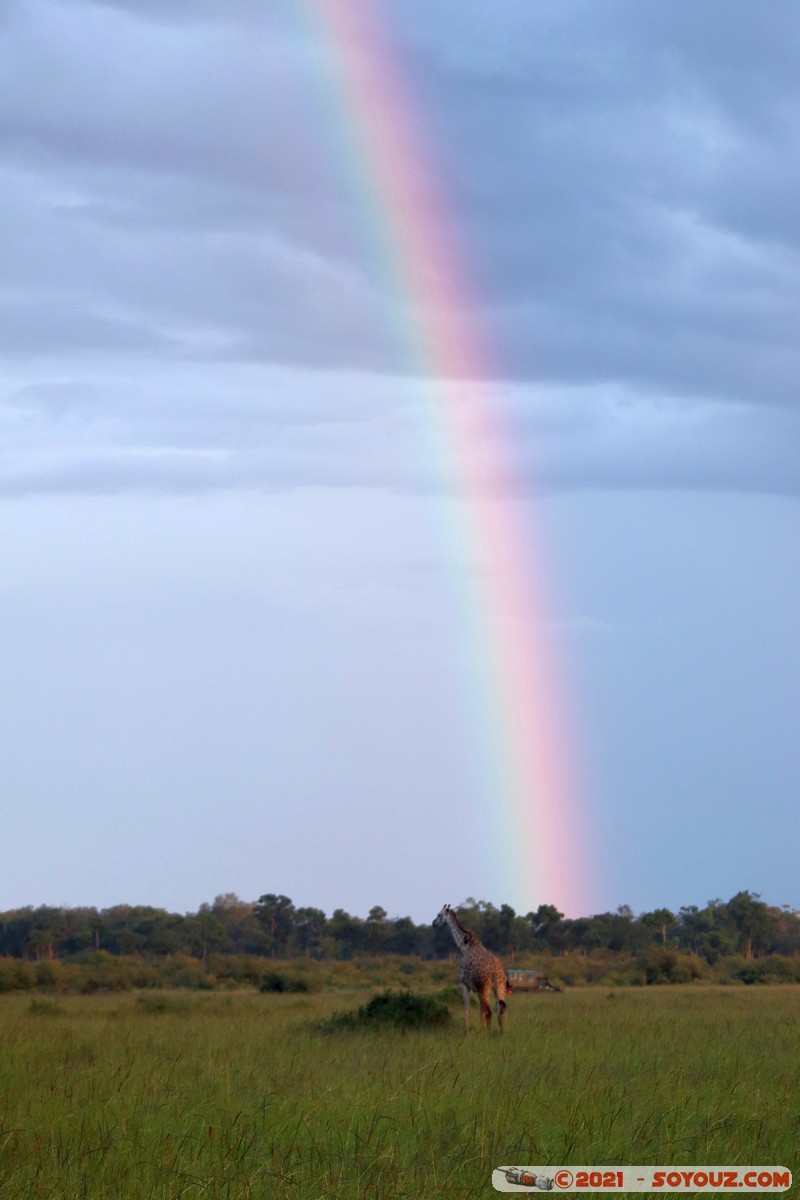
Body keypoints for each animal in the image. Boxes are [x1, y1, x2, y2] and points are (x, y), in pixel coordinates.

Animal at [434, 902, 510, 1032]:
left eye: (439, 915)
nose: (433, 923)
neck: (465, 945)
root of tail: (495, 970)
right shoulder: (476, 988)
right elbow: (480, 1014)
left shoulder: (464, 985)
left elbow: (467, 1010)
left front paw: (468, 1033)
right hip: (499, 986)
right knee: (500, 1011)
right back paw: (500, 1034)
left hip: (483, 988)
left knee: (489, 1012)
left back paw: (487, 1034)